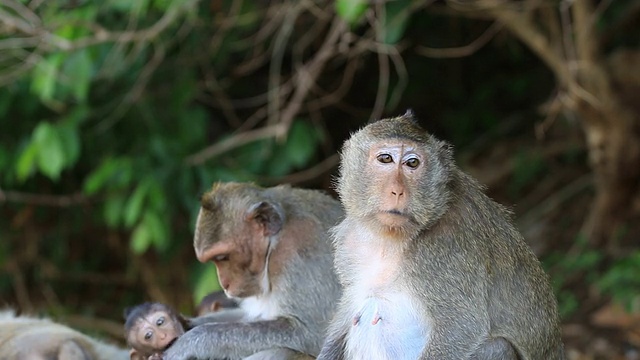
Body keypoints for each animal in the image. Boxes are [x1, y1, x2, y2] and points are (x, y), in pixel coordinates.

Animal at [160, 183, 342, 360]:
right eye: (215, 259)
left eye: (222, 257)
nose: (224, 284)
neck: (274, 244)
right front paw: (184, 323)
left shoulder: (301, 251)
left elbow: (311, 335)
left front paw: (190, 341)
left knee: (282, 352)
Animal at [316, 113, 564, 360]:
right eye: (385, 158)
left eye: (412, 163)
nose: (397, 191)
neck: (391, 238)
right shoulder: (349, 240)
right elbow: (348, 308)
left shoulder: (447, 246)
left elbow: (461, 325)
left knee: (498, 346)